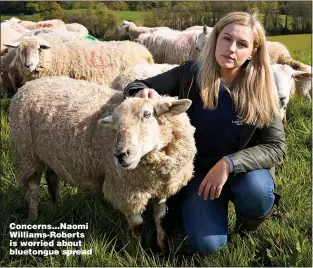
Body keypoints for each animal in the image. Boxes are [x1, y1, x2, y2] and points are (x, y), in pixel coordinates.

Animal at [9, 76, 195, 251]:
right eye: (116, 124)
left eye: (147, 114)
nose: (120, 155)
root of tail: (30, 84)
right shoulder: (125, 191)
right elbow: (137, 227)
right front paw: (138, 254)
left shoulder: (163, 187)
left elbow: (161, 219)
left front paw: (163, 250)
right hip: (26, 155)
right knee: (32, 191)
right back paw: (34, 219)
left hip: (51, 153)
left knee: (52, 177)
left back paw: (56, 205)